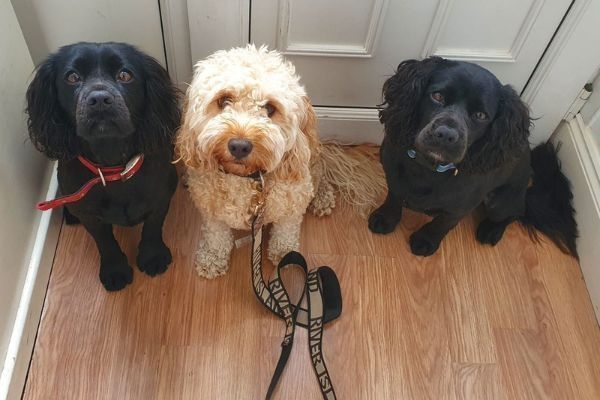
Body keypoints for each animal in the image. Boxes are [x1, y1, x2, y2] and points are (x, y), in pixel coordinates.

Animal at [27, 41, 179, 290]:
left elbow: (152, 227)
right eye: (72, 77)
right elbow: (105, 242)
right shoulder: (90, 215)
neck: (113, 167)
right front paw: (115, 270)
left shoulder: (160, 198)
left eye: (125, 75)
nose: (99, 99)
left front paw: (153, 256)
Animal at [175, 44, 338, 278]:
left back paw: (322, 198)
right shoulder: (211, 212)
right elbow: (216, 234)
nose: (239, 146)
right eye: (223, 100)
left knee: (320, 175)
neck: (245, 178)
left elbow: (286, 229)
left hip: (310, 166)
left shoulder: (292, 204)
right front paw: (212, 258)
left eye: (269, 108)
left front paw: (285, 252)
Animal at [370, 57, 576, 256]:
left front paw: (426, 241)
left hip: (500, 202)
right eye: (437, 96)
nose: (446, 135)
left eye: (480, 115)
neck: (428, 167)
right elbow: (393, 198)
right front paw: (385, 219)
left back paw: (491, 230)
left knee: (516, 213)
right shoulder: (393, 177)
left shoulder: (459, 207)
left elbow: (442, 224)